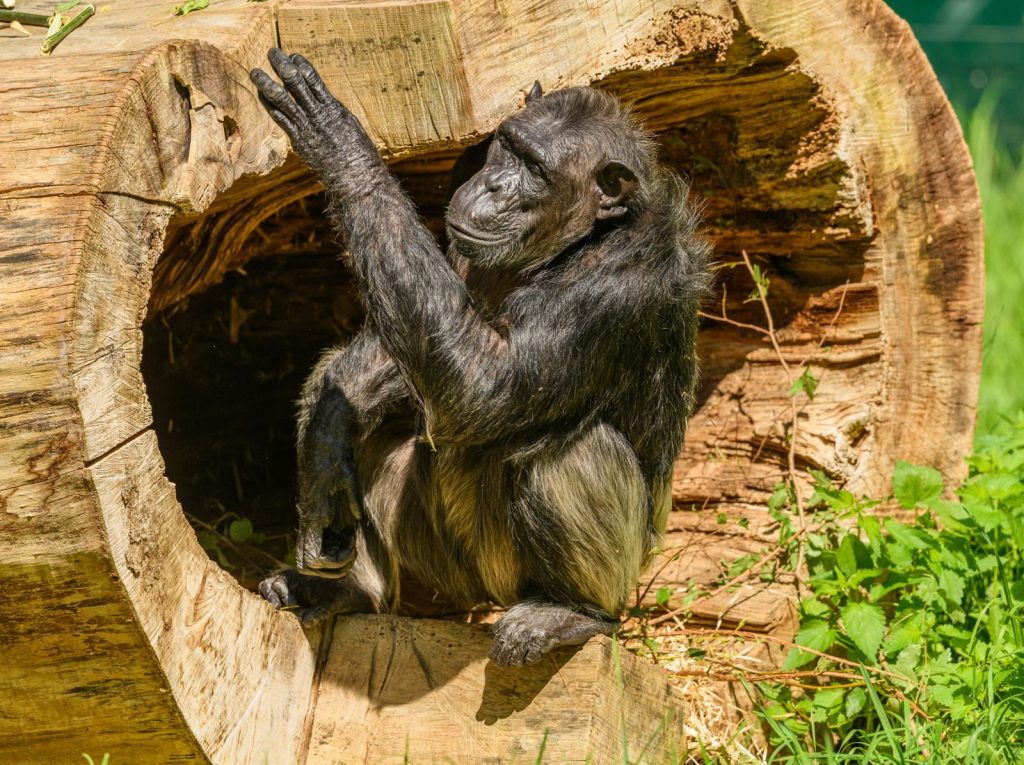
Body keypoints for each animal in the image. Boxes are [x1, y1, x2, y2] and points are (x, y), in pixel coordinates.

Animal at [250, 49, 711, 667]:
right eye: (508, 147)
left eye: (536, 170)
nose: (492, 185)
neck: (577, 241)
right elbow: (410, 342)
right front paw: (325, 456)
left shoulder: (622, 285)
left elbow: (483, 383)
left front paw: (339, 144)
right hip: (445, 565)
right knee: (342, 378)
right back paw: (347, 588)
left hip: (544, 580)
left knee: (571, 451)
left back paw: (570, 612)